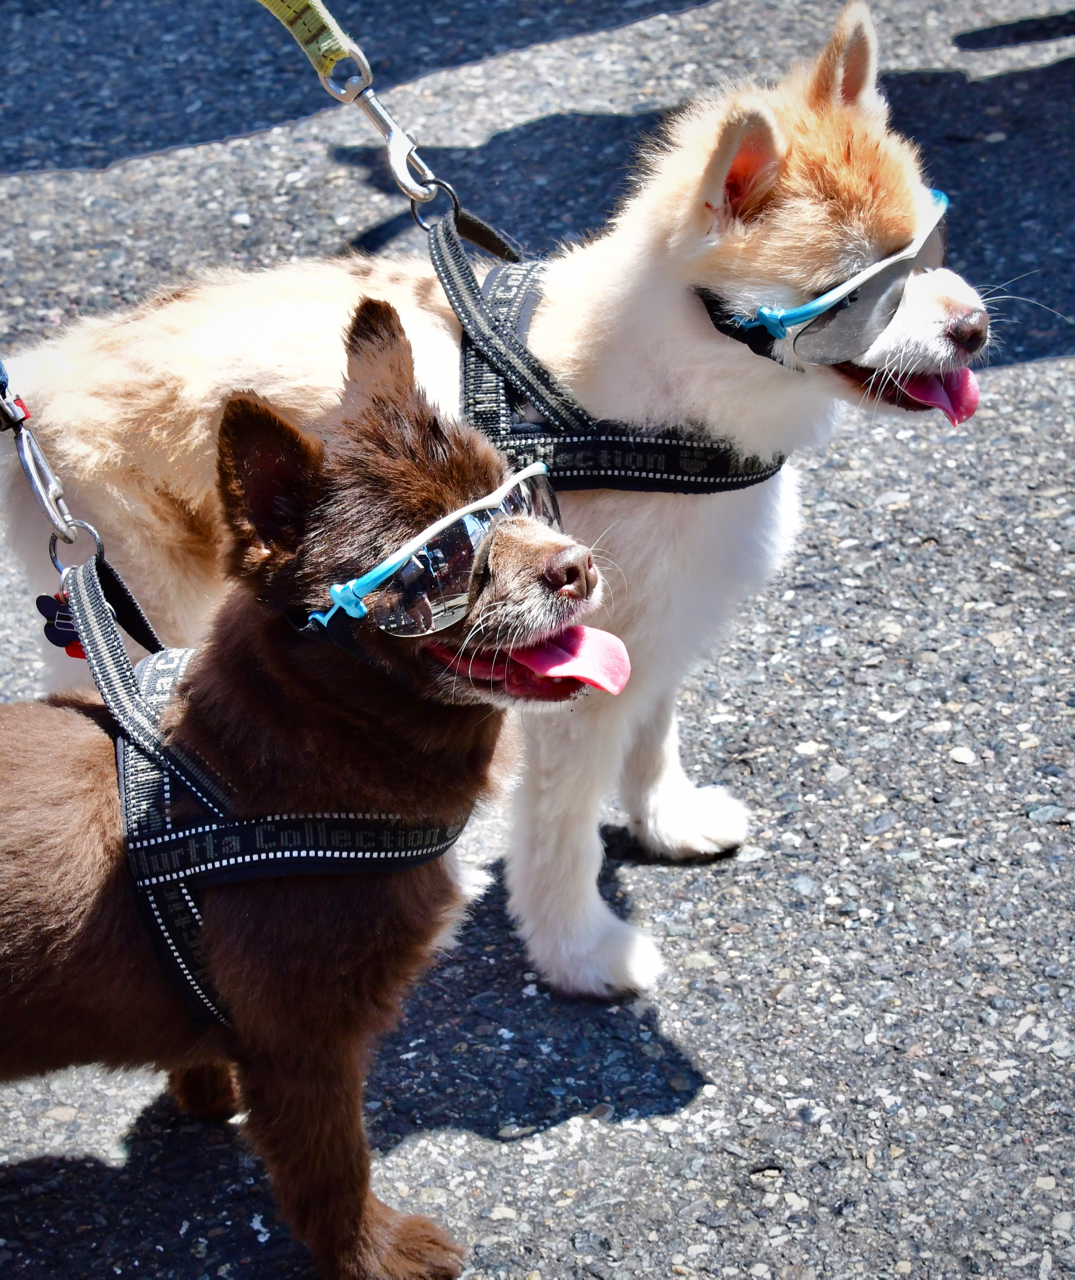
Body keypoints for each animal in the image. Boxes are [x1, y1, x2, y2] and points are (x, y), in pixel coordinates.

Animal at [0, 302, 629, 1280]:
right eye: (435, 563)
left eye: (519, 497)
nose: (576, 565)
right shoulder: (306, 1044)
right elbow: (332, 1168)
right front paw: (375, 1255)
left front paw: (201, 1085)